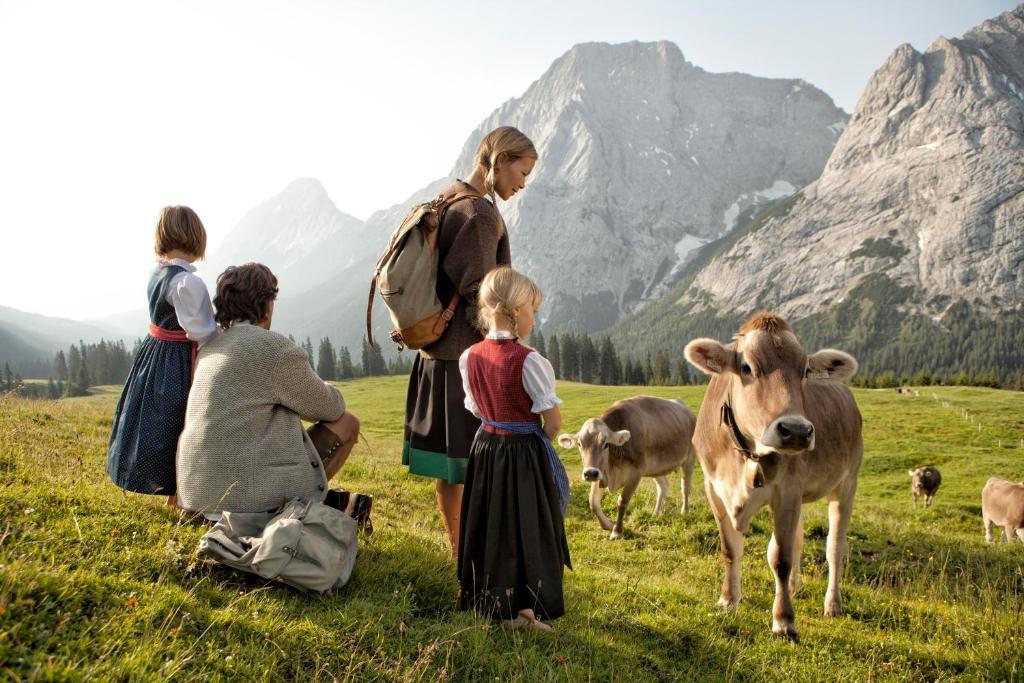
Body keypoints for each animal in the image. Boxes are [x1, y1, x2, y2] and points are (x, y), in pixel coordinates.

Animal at [561, 395, 696, 540]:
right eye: (579, 444)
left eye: (606, 444)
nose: (590, 473)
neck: (613, 466)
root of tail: (687, 410)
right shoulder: (601, 472)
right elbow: (593, 502)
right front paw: (609, 525)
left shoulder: (635, 474)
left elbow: (622, 501)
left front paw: (617, 531)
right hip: (656, 467)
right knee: (663, 487)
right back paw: (656, 513)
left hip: (689, 458)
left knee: (685, 488)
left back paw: (685, 511)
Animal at [684, 313, 860, 643]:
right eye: (746, 367)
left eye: (805, 370)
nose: (796, 431)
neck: (746, 455)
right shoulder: (714, 488)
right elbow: (730, 550)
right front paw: (728, 601)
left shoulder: (788, 491)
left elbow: (780, 557)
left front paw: (784, 621)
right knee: (800, 538)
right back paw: (794, 586)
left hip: (847, 483)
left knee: (835, 547)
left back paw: (832, 604)